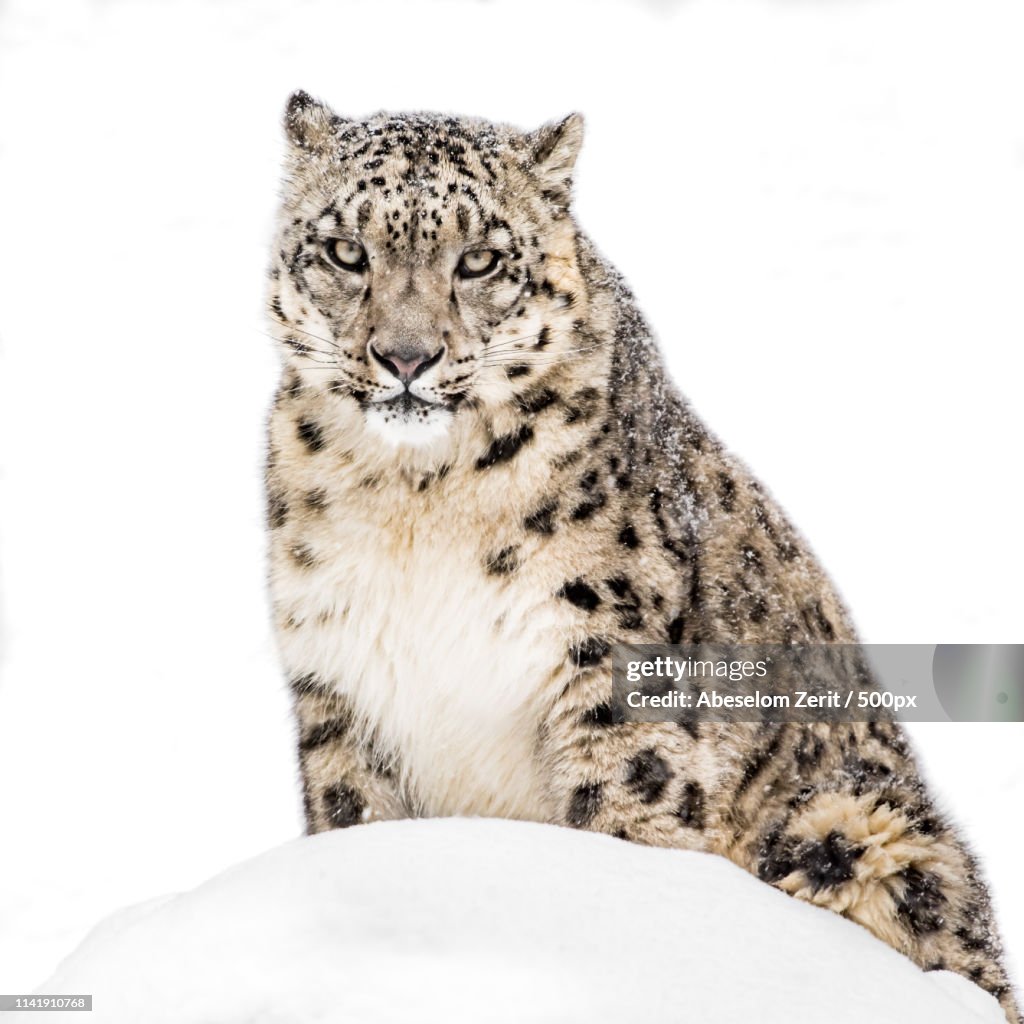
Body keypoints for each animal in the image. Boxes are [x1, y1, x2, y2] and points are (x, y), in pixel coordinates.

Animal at [264, 89, 1018, 1020]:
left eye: (479, 259)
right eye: (345, 250)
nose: (406, 357)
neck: (419, 501)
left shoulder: (610, 665)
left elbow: (625, 810)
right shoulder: (337, 684)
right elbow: (357, 821)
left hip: (857, 821)